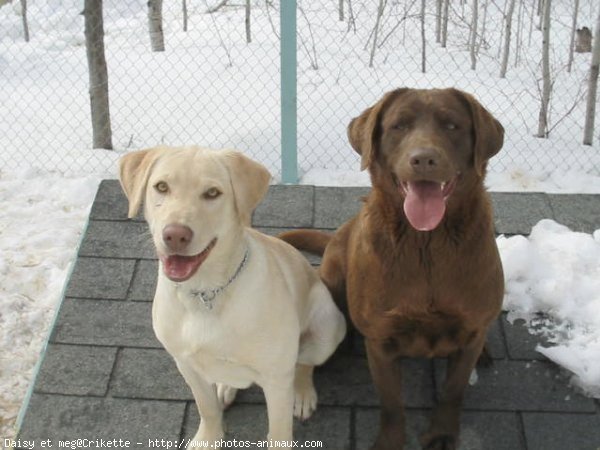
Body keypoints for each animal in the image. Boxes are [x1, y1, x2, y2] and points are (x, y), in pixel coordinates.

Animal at [119, 147, 344, 446]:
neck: (206, 293)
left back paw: (303, 393)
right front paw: (208, 440)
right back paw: (225, 388)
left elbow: (279, 431)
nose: (175, 235)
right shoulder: (186, 365)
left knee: (305, 362)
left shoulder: (276, 378)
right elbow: (207, 409)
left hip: (328, 330)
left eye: (212, 193)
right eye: (162, 187)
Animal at [278, 89, 504, 450]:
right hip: (333, 277)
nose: (423, 159)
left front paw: (442, 435)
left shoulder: (469, 329)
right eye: (399, 125)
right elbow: (392, 403)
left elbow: (453, 390)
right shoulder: (381, 340)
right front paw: (391, 440)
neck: (426, 243)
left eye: (452, 125)